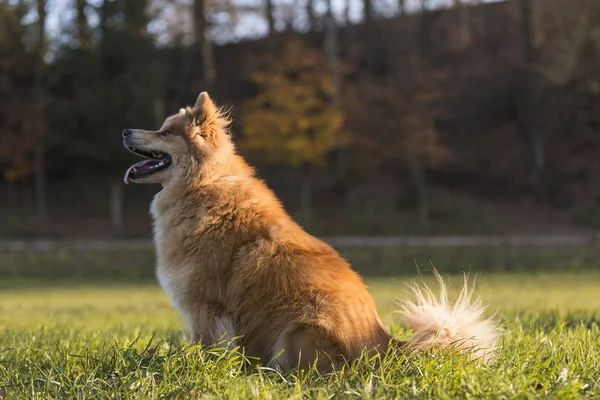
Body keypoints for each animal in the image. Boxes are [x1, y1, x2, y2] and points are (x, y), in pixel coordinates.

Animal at [122, 90, 502, 372]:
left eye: (165, 132)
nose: (125, 130)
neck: (203, 186)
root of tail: (386, 350)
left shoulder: (205, 305)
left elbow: (206, 348)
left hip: (299, 326)